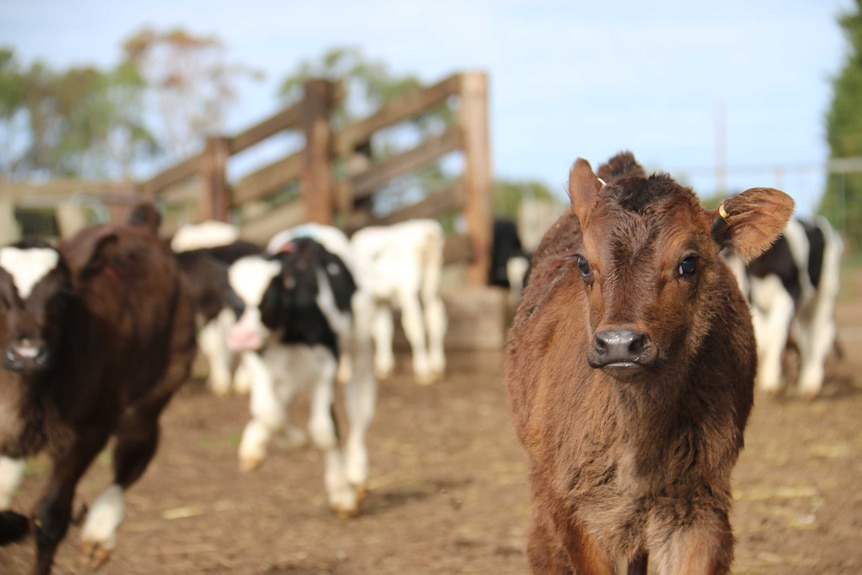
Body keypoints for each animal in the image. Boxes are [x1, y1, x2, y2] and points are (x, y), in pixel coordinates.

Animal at [0, 217, 196, 575]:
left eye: (63, 297)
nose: (28, 354)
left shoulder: (89, 430)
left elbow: (50, 518)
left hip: (162, 380)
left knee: (134, 451)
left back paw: (99, 535)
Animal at [228, 234, 376, 516]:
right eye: (234, 302)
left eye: (271, 298)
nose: (242, 337)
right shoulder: (258, 358)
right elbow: (268, 411)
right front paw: (292, 441)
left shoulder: (326, 364)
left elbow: (324, 431)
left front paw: (342, 496)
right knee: (278, 402)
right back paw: (254, 443)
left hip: (360, 346)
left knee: (359, 410)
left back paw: (357, 472)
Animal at [728, 216, 844, 400]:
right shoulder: (751, 293)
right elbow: (762, 331)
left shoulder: (792, 291)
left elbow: (775, 331)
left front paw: (771, 380)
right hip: (804, 310)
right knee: (805, 338)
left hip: (826, 292)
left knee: (820, 332)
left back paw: (811, 384)